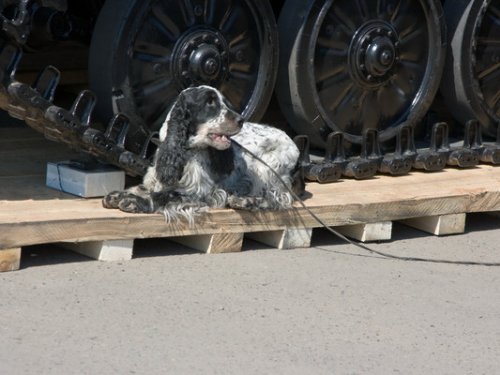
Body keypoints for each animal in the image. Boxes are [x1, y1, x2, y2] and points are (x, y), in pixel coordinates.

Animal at [103, 85, 302, 223]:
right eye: (210, 102)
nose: (241, 120)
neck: (186, 152)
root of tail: (298, 150)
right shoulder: (158, 180)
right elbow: (144, 188)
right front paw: (118, 195)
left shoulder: (201, 193)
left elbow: (164, 196)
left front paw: (134, 202)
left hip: (267, 169)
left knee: (279, 199)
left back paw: (246, 202)